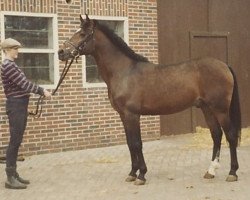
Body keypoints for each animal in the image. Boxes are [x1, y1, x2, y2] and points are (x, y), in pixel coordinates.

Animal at [57, 14, 241, 185]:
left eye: (82, 33)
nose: (61, 52)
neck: (124, 71)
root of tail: (224, 65)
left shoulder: (132, 115)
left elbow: (137, 143)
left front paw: (141, 175)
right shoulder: (123, 116)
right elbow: (130, 143)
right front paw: (132, 173)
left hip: (220, 109)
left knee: (230, 135)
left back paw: (232, 172)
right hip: (206, 108)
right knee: (216, 134)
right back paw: (211, 171)